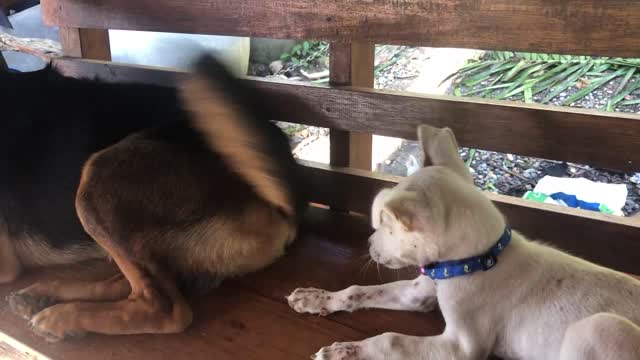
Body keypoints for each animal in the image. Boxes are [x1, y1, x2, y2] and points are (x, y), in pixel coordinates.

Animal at [290, 126, 640, 360]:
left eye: (385, 227)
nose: (369, 245)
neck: (478, 261)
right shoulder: (418, 293)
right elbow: (358, 291)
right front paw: (317, 298)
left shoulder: (461, 346)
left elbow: (390, 340)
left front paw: (345, 350)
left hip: (601, 328)